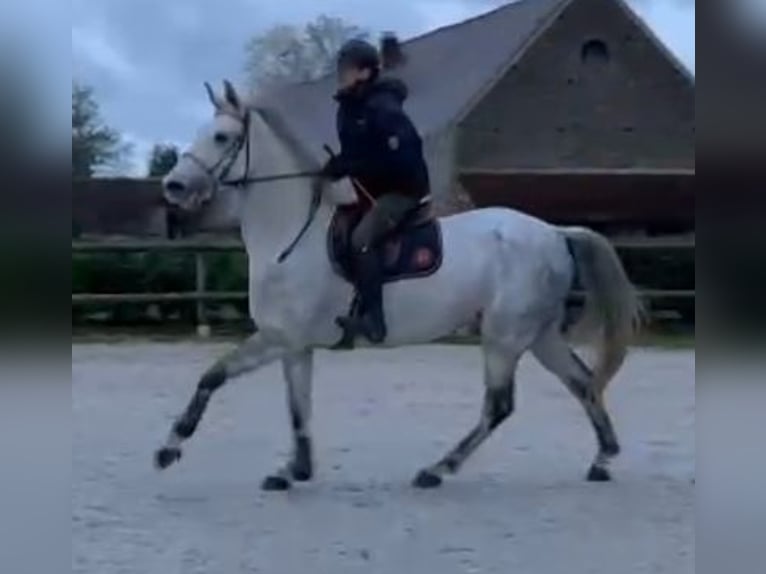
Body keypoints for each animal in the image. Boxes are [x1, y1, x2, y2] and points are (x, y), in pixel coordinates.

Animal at [154, 80, 642, 491]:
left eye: (221, 137)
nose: (172, 186)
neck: (289, 236)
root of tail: (555, 232)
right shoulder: (294, 346)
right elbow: (297, 408)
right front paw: (295, 470)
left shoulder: (278, 338)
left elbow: (212, 377)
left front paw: (169, 449)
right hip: (538, 335)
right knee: (582, 383)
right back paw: (602, 460)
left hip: (504, 336)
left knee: (499, 407)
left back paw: (437, 469)